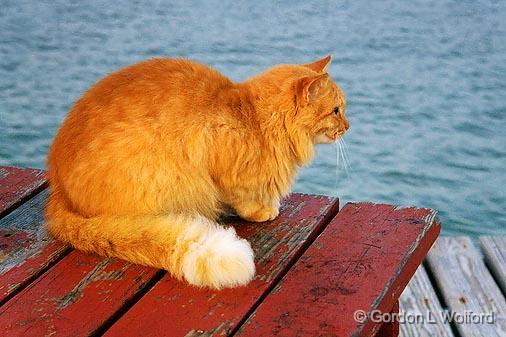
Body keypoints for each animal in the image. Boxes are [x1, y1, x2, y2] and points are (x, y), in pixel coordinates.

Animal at [45, 55, 348, 288]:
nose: (348, 126)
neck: (255, 118)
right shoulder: (224, 173)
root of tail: (58, 190)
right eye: (336, 111)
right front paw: (262, 211)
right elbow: (243, 200)